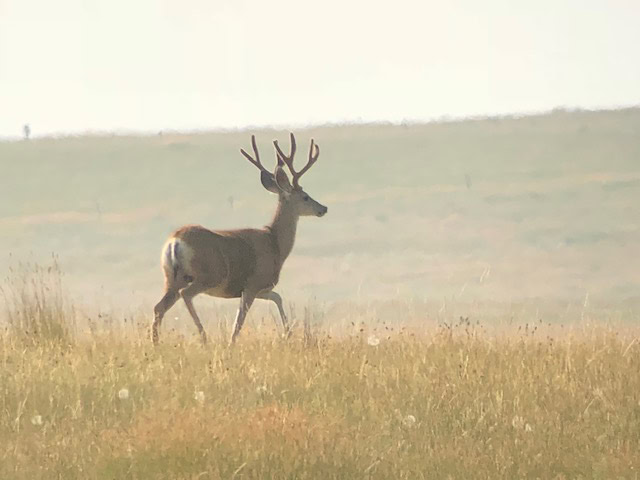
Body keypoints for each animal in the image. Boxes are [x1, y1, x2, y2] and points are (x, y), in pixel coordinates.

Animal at [151, 133, 327, 345]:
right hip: (208, 274)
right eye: (306, 197)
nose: (323, 208)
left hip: (171, 276)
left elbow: (277, 297)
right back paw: (204, 337)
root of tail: (175, 241)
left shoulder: (259, 288)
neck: (275, 243)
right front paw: (231, 343)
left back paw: (155, 343)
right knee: (185, 295)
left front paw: (288, 332)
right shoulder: (253, 283)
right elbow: (240, 320)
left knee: (159, 307)